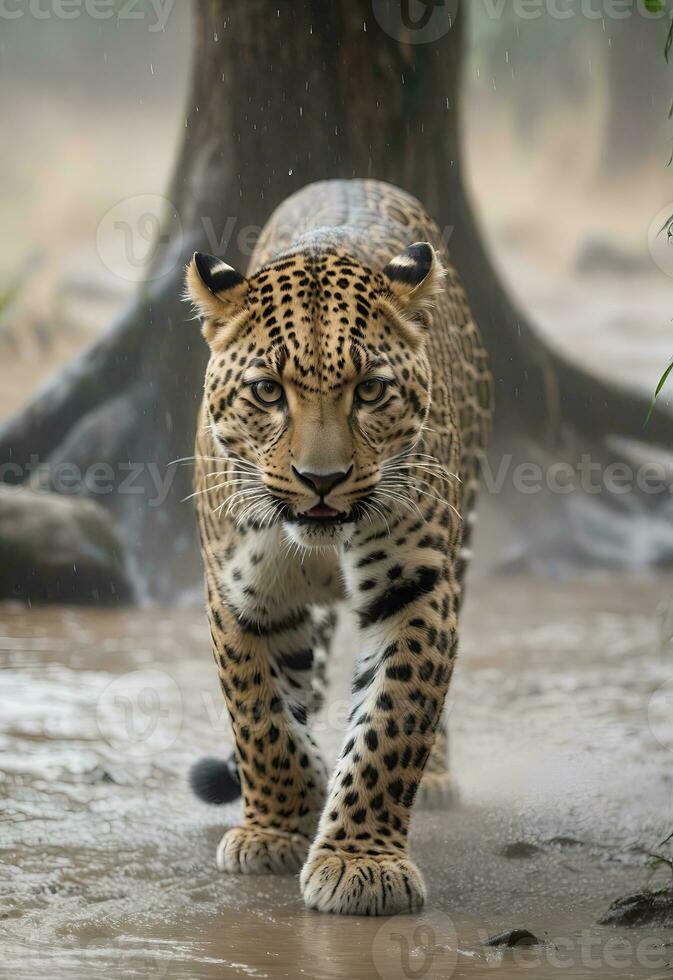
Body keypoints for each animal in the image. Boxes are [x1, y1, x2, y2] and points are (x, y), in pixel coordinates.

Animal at [184, 178, 494, 920]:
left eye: (371, 390)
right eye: (268, 391)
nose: (319, 480)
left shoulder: (417, 586)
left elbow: (393, 719)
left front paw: (360, 862)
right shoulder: (242, 592)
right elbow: (262, 718)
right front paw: (274, 825)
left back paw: (437, 777)